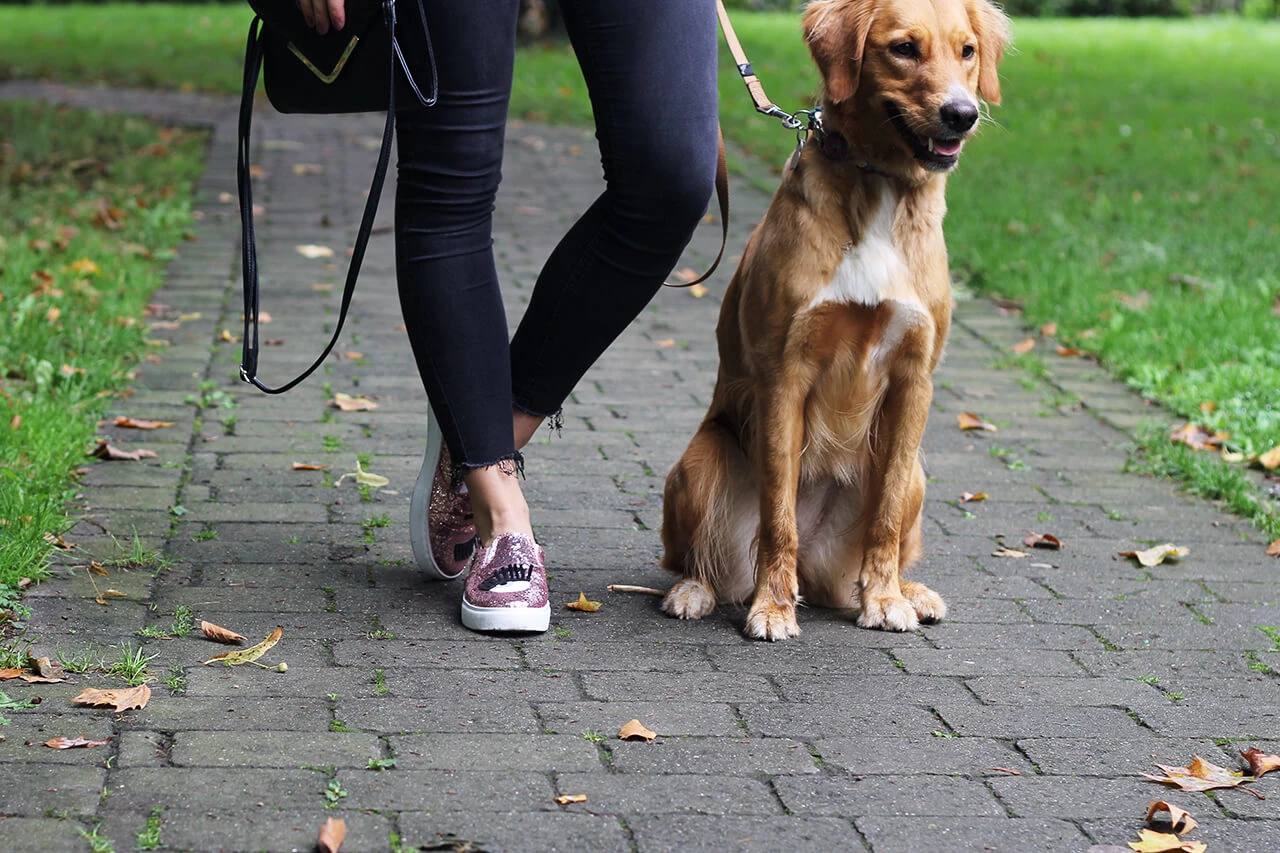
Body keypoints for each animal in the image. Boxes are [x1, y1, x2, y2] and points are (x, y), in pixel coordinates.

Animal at [660, 0, 1008, 637]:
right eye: (904, 48)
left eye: (967, 51)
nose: (962, 115)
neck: (881, 191)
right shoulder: (784, 375)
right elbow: (778, 517)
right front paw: (772, 607)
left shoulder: (915, 379)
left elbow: (885, 516)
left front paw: (887, 599)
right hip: (701, 461)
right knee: (702, 561)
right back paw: (696, 591)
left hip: (919, 474)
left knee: (876, 545)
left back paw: (906, 590)